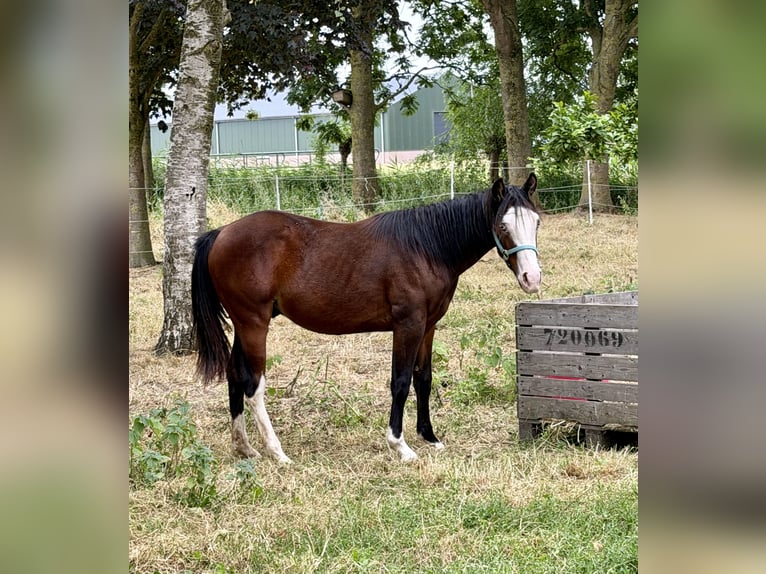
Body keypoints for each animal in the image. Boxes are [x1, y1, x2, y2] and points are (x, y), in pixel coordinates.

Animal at [191, 174, 542, 463]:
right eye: (503, 226)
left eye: (536, 222)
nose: (532, 278)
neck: (425, 247)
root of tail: (221, 233)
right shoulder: (408, 325)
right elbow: (400, 382)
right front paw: (400, 445)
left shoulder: (428, 326)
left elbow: (423, 379)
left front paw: (429, 437)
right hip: (254, 324)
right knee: (253, 386)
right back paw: (277, 452)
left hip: (243, 325)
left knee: (234, 375)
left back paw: (244, 447)